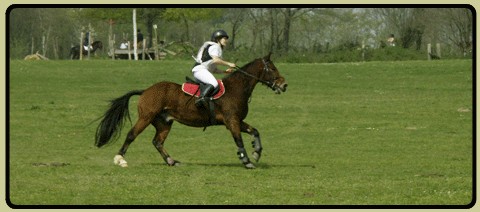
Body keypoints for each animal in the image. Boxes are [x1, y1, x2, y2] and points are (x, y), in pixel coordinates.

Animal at [94, 53, 288, 169]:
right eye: (272, 68)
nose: (284, 85)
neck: (237, 89)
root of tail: (146, 91)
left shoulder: (237, 121)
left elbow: (255, 131)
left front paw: (256, 152)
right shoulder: (231, 121)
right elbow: (239, 140)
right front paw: (247, 161)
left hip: (164, 123)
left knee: (157, 142)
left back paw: (171, 161)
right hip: (146, 117)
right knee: (131, 135)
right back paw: (120, 159)